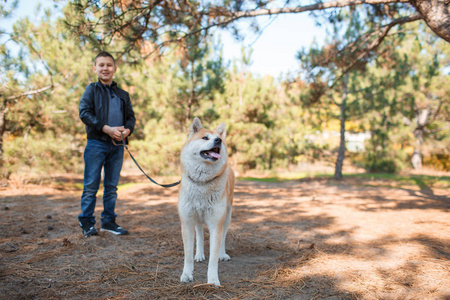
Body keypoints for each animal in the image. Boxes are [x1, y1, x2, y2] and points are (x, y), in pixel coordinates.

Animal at [178, 117, 237, 286]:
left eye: (219, 139)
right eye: (205, 138)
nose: (218, 140)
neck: (202, 183)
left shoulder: (215, 224)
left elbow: (213, 258)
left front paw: (212, 280)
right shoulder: (187, 222)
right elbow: (188, 254)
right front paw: (187, 274)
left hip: (226, 217)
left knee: (223, 238)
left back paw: (222, 254)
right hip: (197, 218)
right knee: (199, 234)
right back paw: (199, 254)